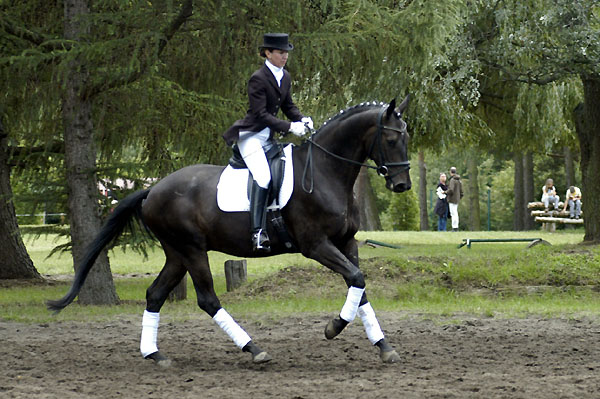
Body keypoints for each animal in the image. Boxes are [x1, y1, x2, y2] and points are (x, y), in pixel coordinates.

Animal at [48, 96, 412, 366]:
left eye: (407, 138)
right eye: (392, 138)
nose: (402, 185)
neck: (325, 171)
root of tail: (152, 190)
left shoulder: (346, 242)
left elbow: (359, 285)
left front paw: (383, 346)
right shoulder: (317, 245)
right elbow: (356, 278)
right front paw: (333, 328)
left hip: (177, 254)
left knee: (155, 294)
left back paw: (155, 354)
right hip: (192, 250)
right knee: (208, 299)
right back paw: (253, 349)